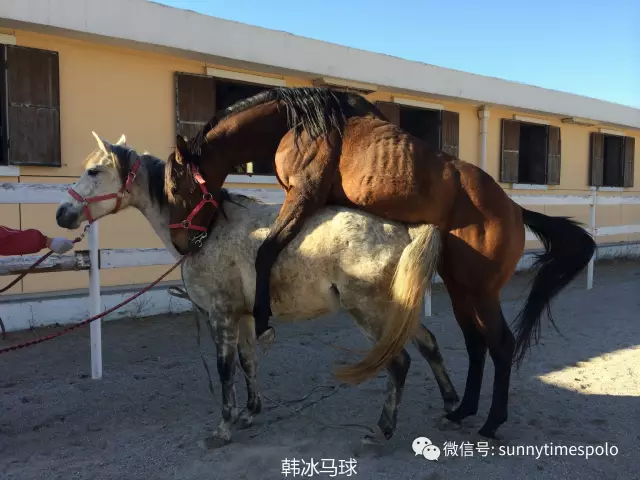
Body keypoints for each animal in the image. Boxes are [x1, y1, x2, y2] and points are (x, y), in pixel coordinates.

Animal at [55, 132, 460, 448]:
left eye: (94, 171)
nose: (62, 214)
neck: (207, 228)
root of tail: (402, 228)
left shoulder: (221, 315)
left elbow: (224, 369)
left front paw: (223, 426)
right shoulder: (245, 317)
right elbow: (248, 361)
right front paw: (249, 412)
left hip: (369, 311)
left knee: (398, 362)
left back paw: (383, 429)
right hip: (395, 311)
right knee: (428, 344)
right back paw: (452, 408)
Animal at [165, 86, 597, 438]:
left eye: (175, 184)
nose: (183, 242)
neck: (303, 124)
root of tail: (515, 209)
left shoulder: (303, 197)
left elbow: (266, 251)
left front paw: (264, 316)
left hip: (481, 291)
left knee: (501, 344)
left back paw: (491, 421)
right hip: (460, 287)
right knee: (475, 343)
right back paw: (463, 410)